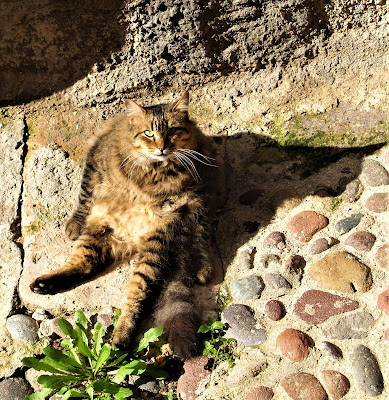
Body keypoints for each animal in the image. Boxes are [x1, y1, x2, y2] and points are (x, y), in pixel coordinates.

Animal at [29, 91, 218, 360]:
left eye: (172, 131)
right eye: (148, 133)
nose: (162, 147)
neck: (153, 171)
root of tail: (131, 240)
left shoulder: (183, 202)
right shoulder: (95, 162)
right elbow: (84, 196)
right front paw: (75, 222)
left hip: (156, 246)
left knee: (140, 292)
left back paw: (121, 336)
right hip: (101, 227)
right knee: (84, 263)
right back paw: (47, 283)